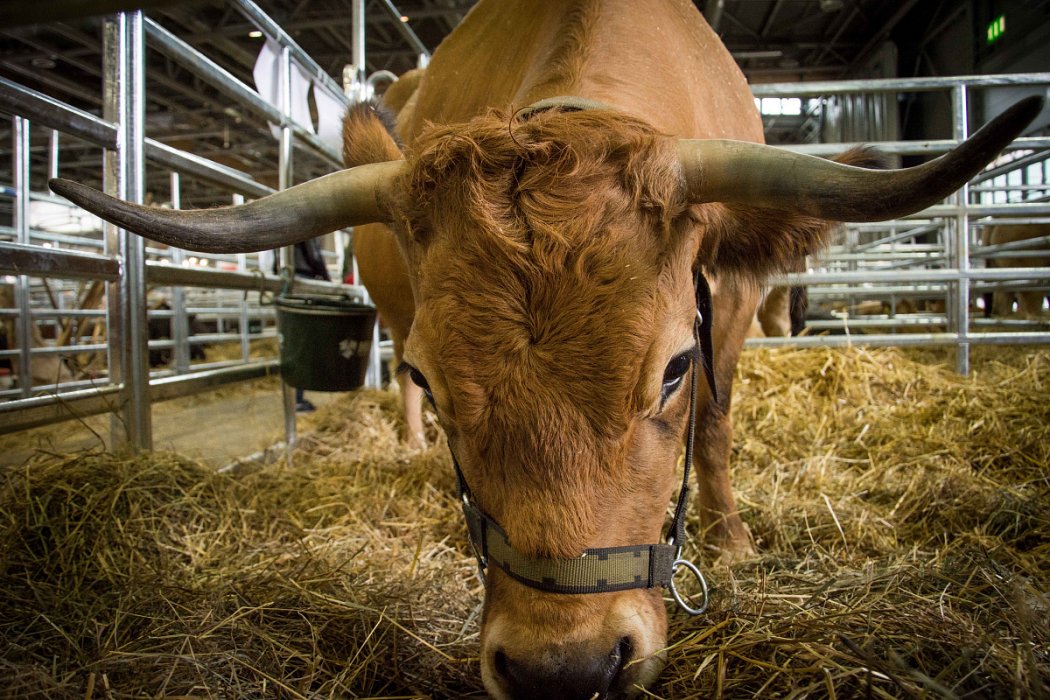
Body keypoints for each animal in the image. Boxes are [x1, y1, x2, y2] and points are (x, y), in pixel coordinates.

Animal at [45, 1, 1037, 696]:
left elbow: (716, 430)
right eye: (440, 380)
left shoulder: (738, 296)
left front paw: (736, 542)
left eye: (675, 367)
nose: (565, 670)